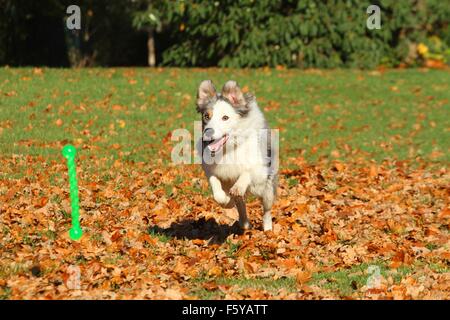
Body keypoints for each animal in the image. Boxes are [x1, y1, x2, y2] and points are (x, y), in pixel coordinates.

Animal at [194, 79, 276, 230]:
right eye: (206, 116)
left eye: (225, 117)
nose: (208, 132)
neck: (228, 149)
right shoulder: (210, 169)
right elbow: (216, 188)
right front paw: (226, 200)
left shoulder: (259, 167)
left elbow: (247, 171)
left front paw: (238, 187)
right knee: (240, 204)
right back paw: (244, 223)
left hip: (267, 188)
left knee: (267, 210)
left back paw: (268, 229)